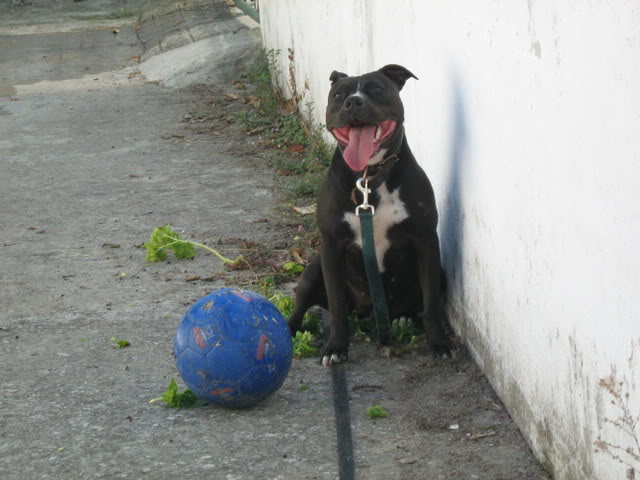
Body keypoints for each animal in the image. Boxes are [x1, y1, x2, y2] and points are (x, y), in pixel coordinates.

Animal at [288, 62, 452, 364]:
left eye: (376, 88)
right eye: (339, 95)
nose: (354, 102)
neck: (369, 177)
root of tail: (369, 313)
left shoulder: (425, 241)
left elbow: (431, 302)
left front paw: (439, 342)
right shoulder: (331, 245)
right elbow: (337, 305)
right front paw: (336, 347)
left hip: (440, 272)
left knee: (419, 306)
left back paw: (405, 320)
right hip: (312, 270)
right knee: (302, 307)